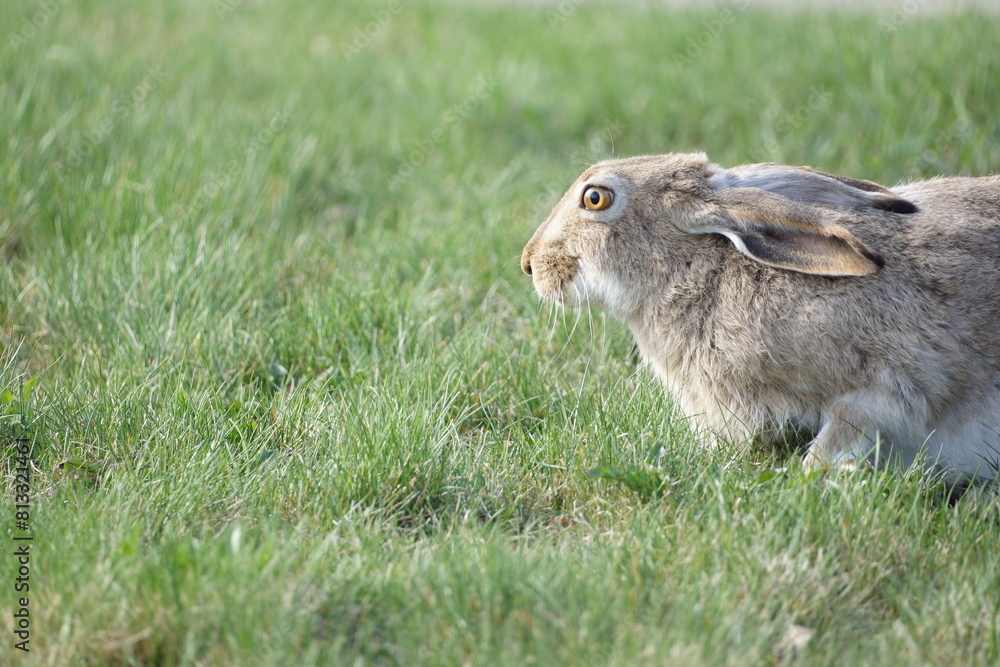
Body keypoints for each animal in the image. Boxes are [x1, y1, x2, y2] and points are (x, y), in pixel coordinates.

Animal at [521, 152, 1000, 484]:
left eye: (595, 197)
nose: (529, 262)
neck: (699, 267)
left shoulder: (896, 380)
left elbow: (848, 425)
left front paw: (815, 476)